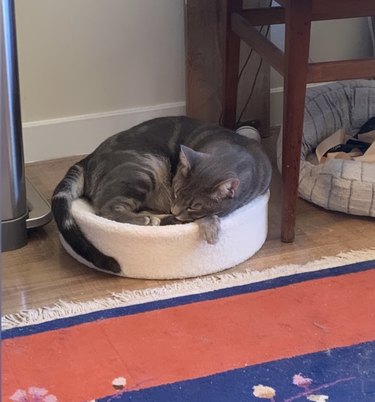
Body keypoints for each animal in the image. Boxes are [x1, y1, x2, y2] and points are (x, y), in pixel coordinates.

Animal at [51, 116, 272, 274]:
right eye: (176, 191)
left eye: (194, 205)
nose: (174, 209)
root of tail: (87, 159)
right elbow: (207, 217)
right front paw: (211, 229)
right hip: (146, 168)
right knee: (107, 210)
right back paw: (149, 220)